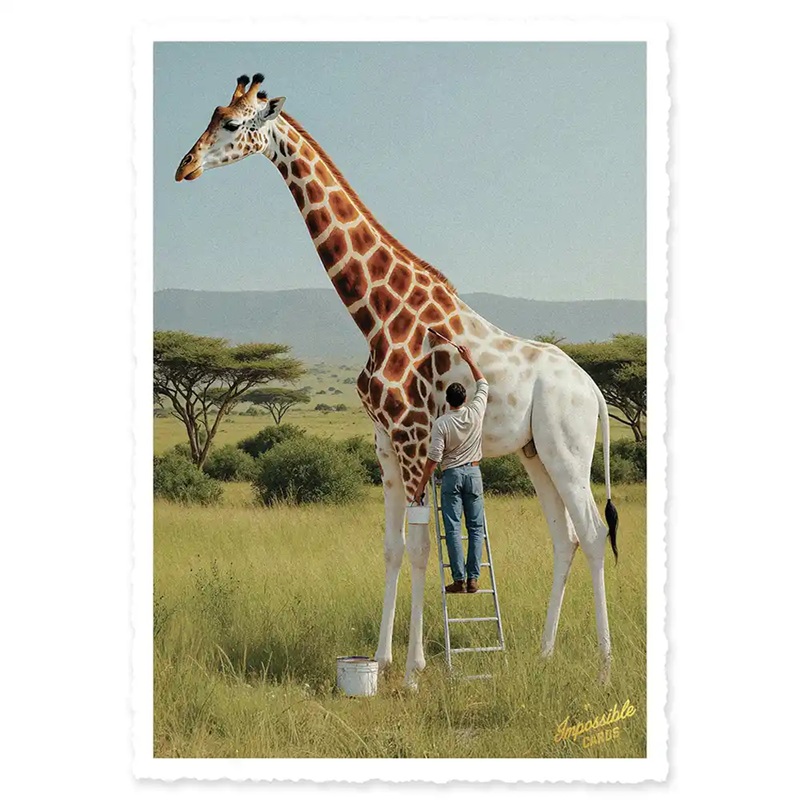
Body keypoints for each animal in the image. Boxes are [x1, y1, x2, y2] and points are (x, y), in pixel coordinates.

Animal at [175, 75, 620, 686]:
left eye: (234, 124)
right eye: (213, 114)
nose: (185, 167)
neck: (375, 314)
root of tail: (595, 390)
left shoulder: (412, 440)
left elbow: (420, 548)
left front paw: (412, 670)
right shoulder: (385, 444)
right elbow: (390, 547)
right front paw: (381, 661)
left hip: (569, 448)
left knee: (595, 535)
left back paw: (603, 668)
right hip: (537, 452)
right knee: (565, 538)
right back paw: (545, 654)